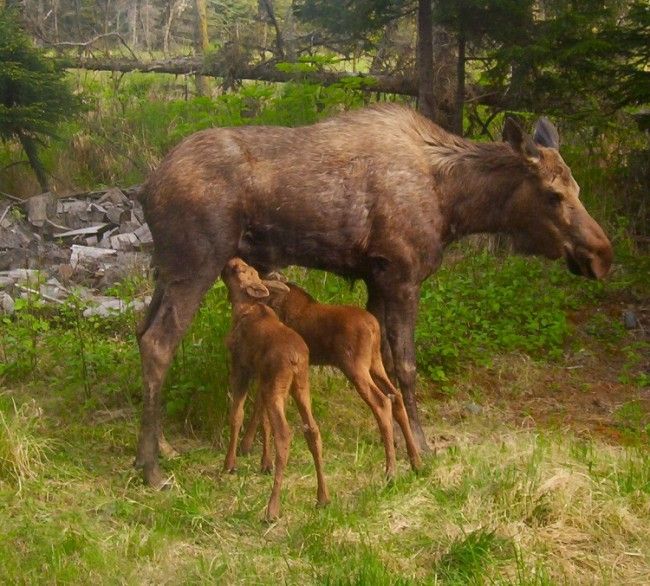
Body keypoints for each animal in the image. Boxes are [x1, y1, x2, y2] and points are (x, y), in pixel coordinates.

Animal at [220, 258, 330, 516]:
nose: (231, 260)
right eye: (248, 268)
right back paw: (323, 497)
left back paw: (272, 509)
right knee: (313, 430)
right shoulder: (262, 378)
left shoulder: (241, 368)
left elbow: (237, 415)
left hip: (277, 387)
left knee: (285, 434)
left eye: (240, 270)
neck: (242, 309)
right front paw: (264, 463)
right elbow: (263, 421)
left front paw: (230, 464)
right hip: (300, 386)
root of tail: (295, 359)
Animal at [240, 280, 422, 480]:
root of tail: (374, 327)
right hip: (375, 363)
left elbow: (260, 409)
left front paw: (252, 452)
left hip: (355, 366)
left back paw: (391, 470)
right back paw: (416, 462)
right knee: (395, 395)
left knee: (382, 401)